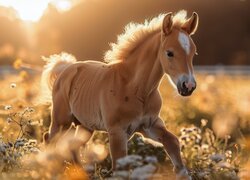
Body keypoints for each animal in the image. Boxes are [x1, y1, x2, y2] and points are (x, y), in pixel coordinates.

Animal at [41, 10, 199, 179]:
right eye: (170, 53)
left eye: (193, 53)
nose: (188, 86)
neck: (136, 89)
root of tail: (65, 69)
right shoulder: (117, 133)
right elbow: (120, 168)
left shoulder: (150, 125)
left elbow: (173, 142)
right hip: (61, 122)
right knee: (50, 141)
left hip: (85, 126)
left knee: (73, 146)